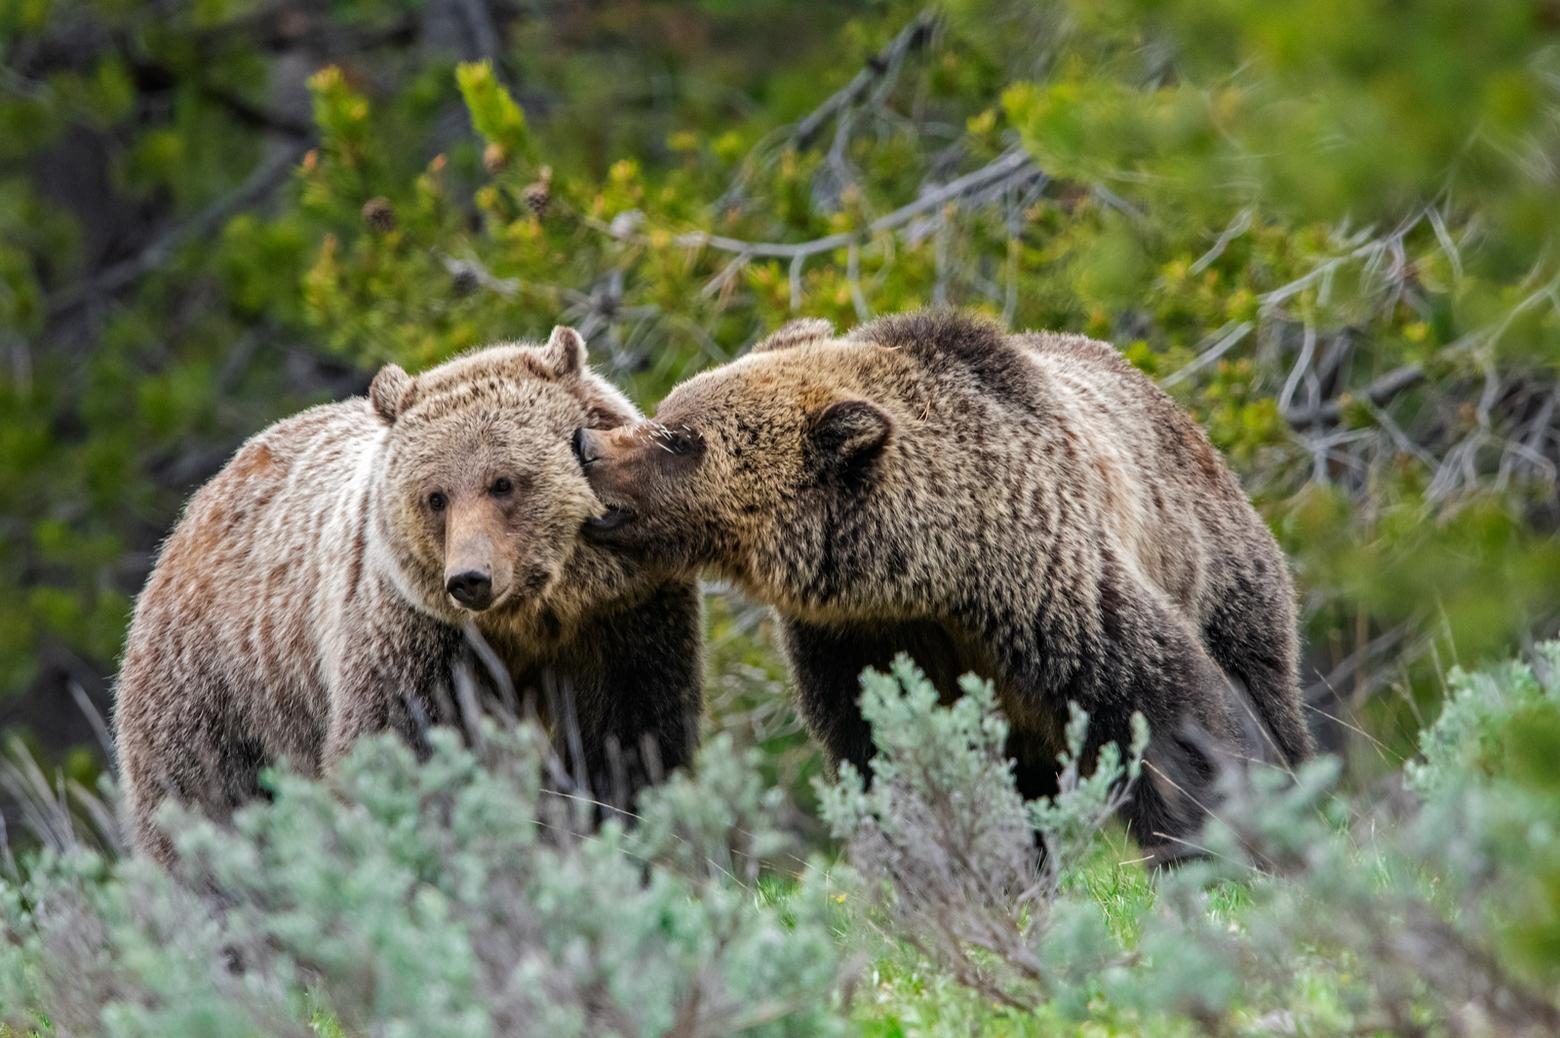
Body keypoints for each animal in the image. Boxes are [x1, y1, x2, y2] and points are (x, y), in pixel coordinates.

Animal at [118, 327, 705, 861]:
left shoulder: (622, 617)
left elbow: (630, 742)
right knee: (204, 798)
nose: (470, 578)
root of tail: (196, 507)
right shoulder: (415, 637)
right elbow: (401, 749)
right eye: (435, 496)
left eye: (504, 482)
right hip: (219, 685)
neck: (535, 616)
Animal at [580, 309, 1310, 855]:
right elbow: (881, 746)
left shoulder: (1056, 592)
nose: (587, 445)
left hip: (1217, 567)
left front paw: (1215, 837)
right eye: (667, 407)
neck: (936, 572)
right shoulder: (858, 639)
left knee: (1262, 682)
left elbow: (1161, 716)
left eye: (679, 438)